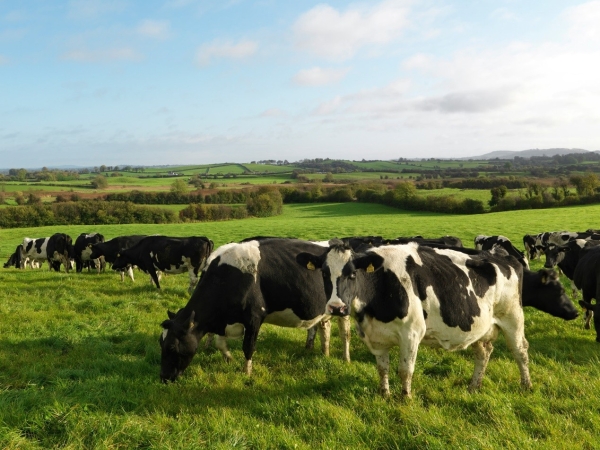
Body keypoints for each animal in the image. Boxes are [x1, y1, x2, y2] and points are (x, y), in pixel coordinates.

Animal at [158, 239, 352, 384]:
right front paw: (229, 358)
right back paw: (324, 353)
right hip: (325, 311)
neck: (227, 277)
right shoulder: (224, 320)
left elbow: (248, 347)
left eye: (172, 346)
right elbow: (220, 343)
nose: (164, 378)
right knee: (325, 328)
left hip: (343, 307)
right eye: (161, 342)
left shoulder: (254, 317)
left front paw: (247, 372)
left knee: (345, 332)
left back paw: (346, 358)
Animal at [296, 241, 528, 400]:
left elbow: (405, 370)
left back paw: (526, 386)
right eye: (324, 273)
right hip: (482, 327)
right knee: (483, 352)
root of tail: (504, 257)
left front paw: (405, 398)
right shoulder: (376, 336)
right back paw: (474, 387)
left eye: (353, 274)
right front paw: (385, 395)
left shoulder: (411, 332)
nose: (336, 307)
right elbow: (383, 368)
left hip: (512, 318)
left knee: (521, 351)